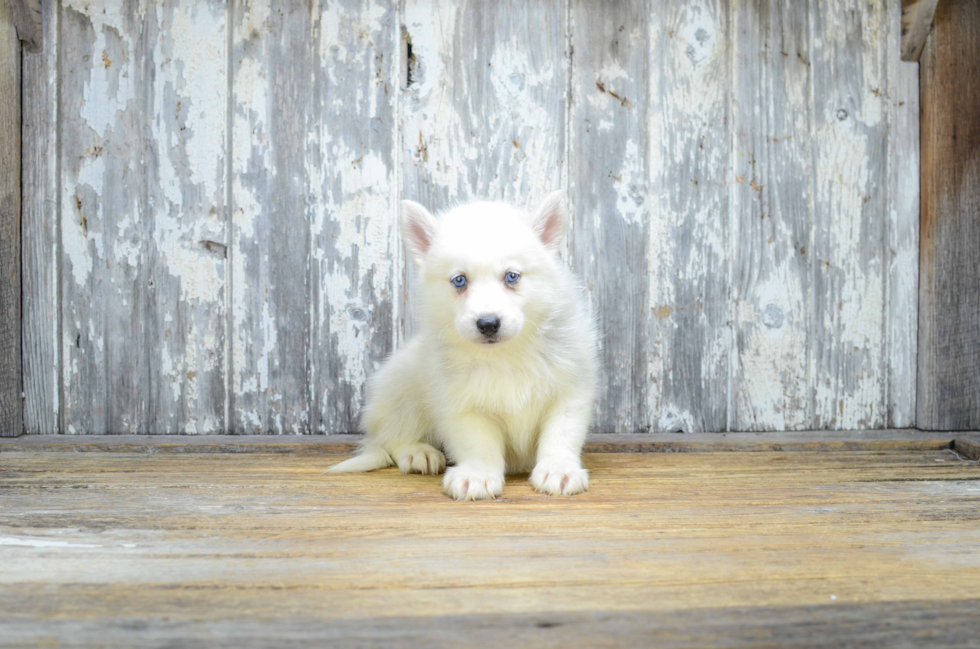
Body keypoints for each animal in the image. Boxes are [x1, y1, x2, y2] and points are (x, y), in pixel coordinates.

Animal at [330, 190, 596, 498]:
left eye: (512, 276)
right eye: (459, 280)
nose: (488, 323)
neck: (506, 353)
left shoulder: (569, 391)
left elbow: (561, 435)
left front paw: (558, 470)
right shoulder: (462, 403)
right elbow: (477, 442)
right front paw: (477, 475)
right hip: (401, 387)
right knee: (390, 435)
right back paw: (417, 451)